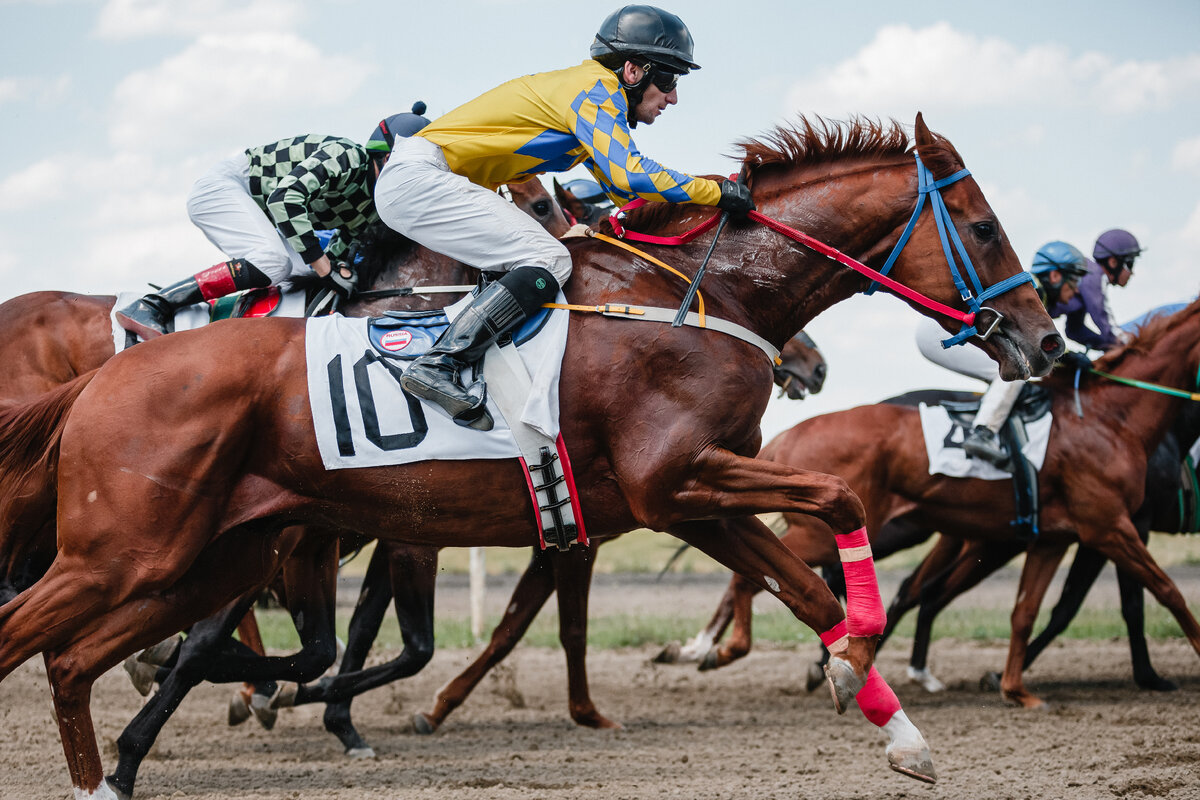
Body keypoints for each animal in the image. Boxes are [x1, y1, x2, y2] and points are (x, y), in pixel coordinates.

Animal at [0, 112, 1060, 796]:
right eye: (981, 227)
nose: (1048, 344)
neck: (696, 295)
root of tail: (105, 374)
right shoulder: (672, 479)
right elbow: (839, 500)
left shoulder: (689, 500)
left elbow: (803, 588)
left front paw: (894, 725)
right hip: (128, 551)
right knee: (50, 637)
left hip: (205, 555)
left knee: (75, 658)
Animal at [662, 297, 1200, 710]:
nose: (814, 370)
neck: (1111, 418)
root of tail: (790, 434)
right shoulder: (1111, 526)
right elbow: (1165, 592)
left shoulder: (1054, 537)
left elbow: (1026, 611)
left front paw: (1015, 689)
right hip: (831, 530)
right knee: (758, 578)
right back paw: (724, 650)